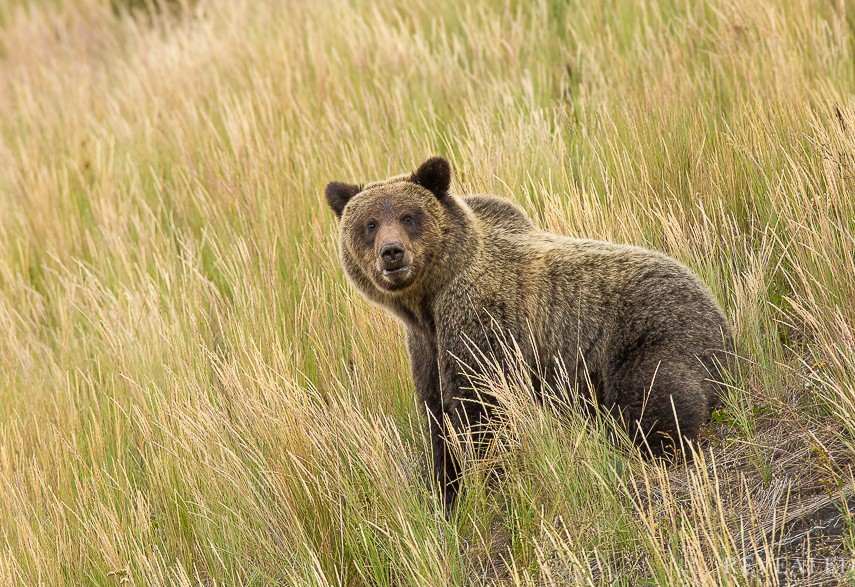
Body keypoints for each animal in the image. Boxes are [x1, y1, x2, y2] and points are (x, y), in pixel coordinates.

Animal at [325, 156, 732, 507]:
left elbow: (480, 407)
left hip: (654, 338)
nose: (392, 253)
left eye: (409, 216)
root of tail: (718, 312)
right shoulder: (427, 344)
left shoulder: (480, 321)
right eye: (370, 223)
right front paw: (447, 490)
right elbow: (438, 416)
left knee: (656, 400)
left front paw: (487, 482)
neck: (429, 300)